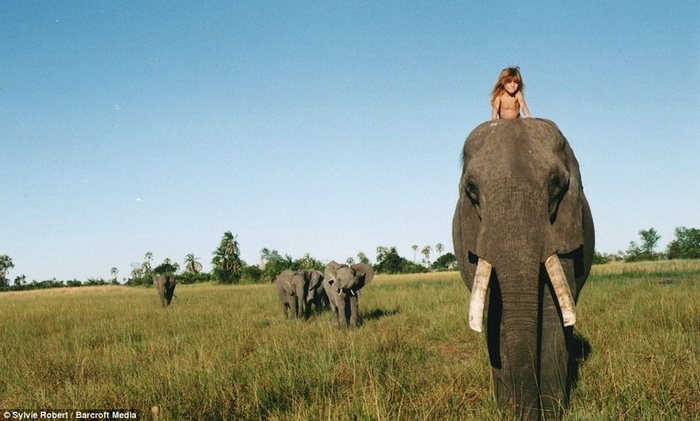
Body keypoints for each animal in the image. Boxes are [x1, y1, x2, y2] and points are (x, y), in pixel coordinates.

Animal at [452, 118, 592, 420]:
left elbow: (552, 312)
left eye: (555, 184)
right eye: (472, 190)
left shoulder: (564, 227)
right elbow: (496, 315)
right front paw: (508, 409)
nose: (528, 412)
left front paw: (552, 413)